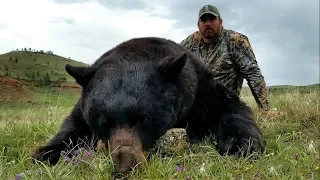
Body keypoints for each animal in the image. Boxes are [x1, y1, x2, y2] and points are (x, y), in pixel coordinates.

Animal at [33, 36, 264, 174]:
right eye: (103, 122)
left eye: (142, 119)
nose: (125, 165)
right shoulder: (82, 106)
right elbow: (73, 126)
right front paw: (47, 153)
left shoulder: (201, 91)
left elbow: (232, 108)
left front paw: (240, 145)